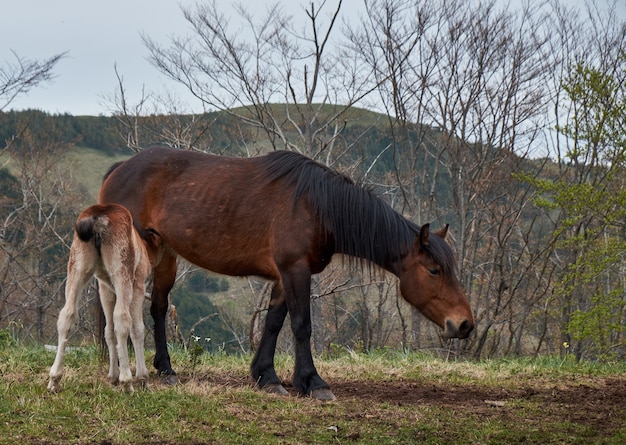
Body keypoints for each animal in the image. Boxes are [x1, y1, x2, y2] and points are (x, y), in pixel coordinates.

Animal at [48, 203, 161, 394]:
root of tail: (97, 218)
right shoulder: (138, 284)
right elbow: (137, 329)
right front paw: (142, 379)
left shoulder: (105, 287)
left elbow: (108, 330)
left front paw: (112, 376)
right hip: (121, 270)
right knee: (122, 318)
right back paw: (127, 383)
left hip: (77, 266)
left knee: (67, 314)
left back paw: (54, 380)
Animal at [98, 147, 472, 398]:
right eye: (435, 270)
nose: (465, 324)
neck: (318, 206)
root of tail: (118, 169)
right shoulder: (295, 270)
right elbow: (301, 324)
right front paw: (313, 382)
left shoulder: (283, 275)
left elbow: (275, 323)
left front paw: (266, 376)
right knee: (120, 309)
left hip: (166, 256)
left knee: (158, 308)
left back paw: (165, 369)